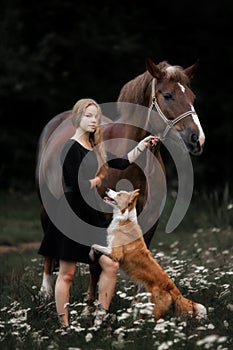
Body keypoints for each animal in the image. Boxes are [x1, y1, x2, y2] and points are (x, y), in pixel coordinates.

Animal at [35, 57, 205, 304]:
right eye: (167, 95)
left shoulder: (149, 220)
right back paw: (46, 291)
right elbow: (95, 265)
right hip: (46, 205)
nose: (197, 139)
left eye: (192, 97)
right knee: (49, 250)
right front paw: (92, 305)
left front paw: (138, 308)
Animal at [89, 189, 208, 320]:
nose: (107, 190)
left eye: (119, 194)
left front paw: (91, 254)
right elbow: (95, 246)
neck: (125, 219)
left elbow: (94, 245)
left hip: (154, 307)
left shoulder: (115, 253)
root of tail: (174, 289)